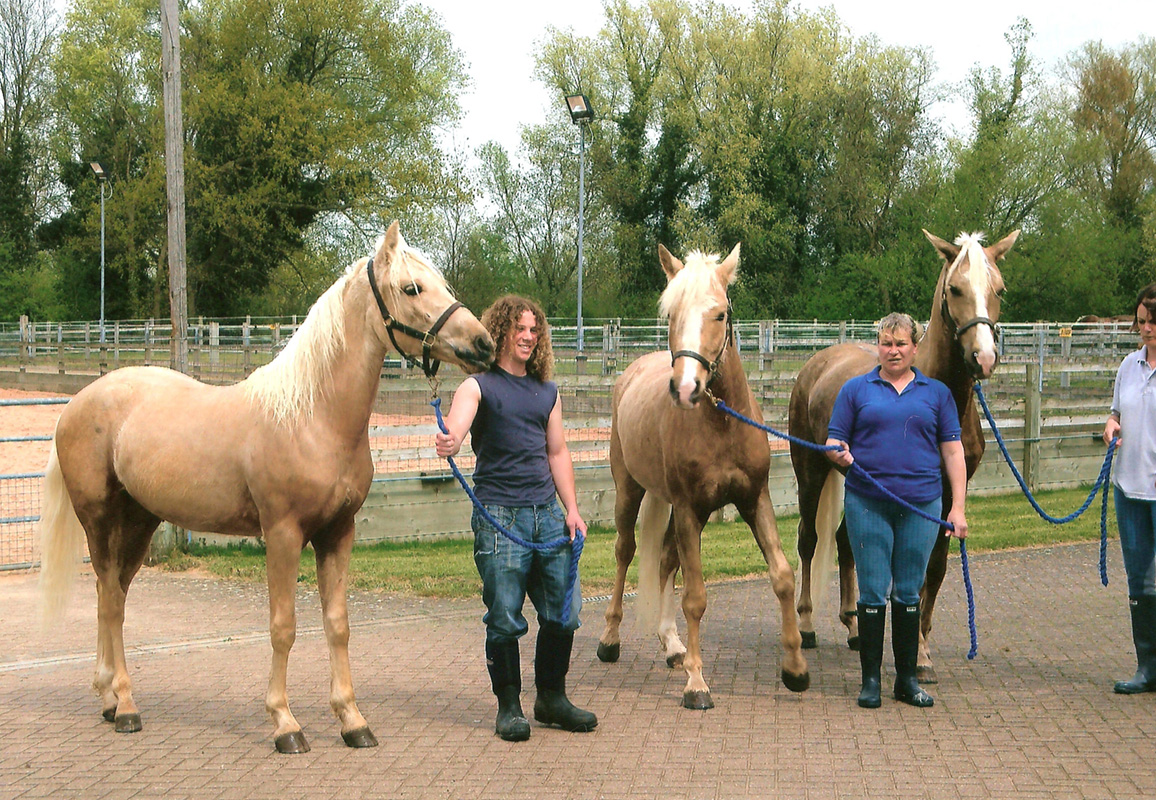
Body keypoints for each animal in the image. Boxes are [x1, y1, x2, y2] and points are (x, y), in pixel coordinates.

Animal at [37, 221, 492, 753]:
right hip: (99, 520)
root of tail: (77, 403)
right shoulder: (282, 534)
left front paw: (352, 720)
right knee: (110, 600)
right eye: (412, 288)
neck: (313, 416)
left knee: (113, 597)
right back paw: (126, 706)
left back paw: (110, 698)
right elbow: (283, 628)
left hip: (139, 522)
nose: (483, 344)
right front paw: (285, 723)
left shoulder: (338, 533)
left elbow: (338, 625)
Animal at [591, 241, 809, 707]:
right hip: (630, 491)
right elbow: (695, 596)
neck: (722, 423)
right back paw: (611, 639)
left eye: (720, 314)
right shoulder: (690, 509)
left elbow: (783, 576)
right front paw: (697, 684)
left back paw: (673, 646)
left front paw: (796, 668)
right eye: (671, 314)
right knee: (625, 551)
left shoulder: (752, 499)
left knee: (666, 558)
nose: (686, 387)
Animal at [786, 227, 1021, 679]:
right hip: (810, 470)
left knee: (845, 543)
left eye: (999, 289)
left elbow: (935, 567)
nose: (983, 358)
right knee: (810, 539)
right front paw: (915, 651)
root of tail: (817, 363)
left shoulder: (949, 494)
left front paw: (922, 650)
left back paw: (853, 628)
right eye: (955, 288)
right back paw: (805, 625)